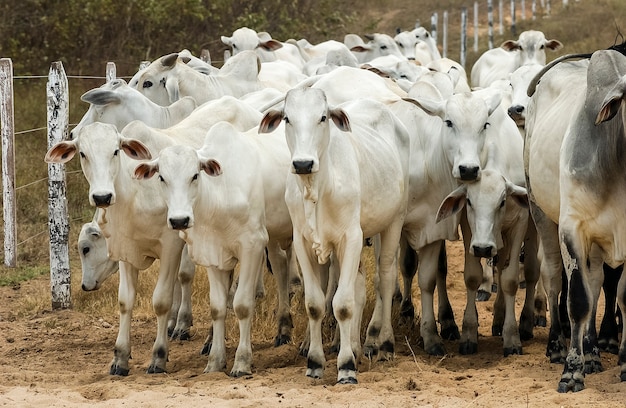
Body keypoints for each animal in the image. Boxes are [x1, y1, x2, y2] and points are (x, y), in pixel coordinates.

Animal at [258, 87, 410, 384]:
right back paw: (352, 345)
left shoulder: (351, 239)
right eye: (287, 118)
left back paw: (384, 344)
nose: (303, 163)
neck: (317, 188)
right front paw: (315, 362)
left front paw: (346, 366)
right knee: (359, 284)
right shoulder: (303, 243)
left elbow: (343, 304)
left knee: (385, 279)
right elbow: (315, 304)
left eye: (323, 117)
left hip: (392, 223)